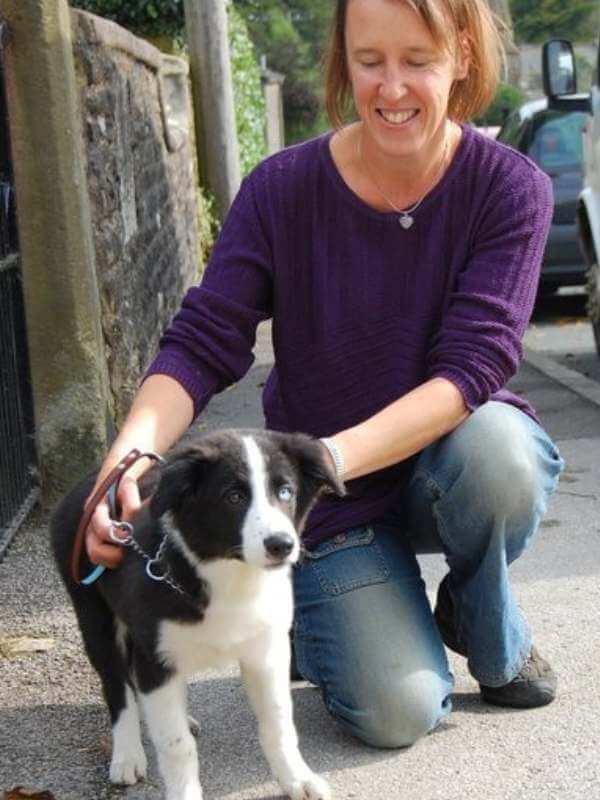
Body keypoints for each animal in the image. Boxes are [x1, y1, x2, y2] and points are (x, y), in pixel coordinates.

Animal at [51, 428, 342, 800]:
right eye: (234, 497)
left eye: (285, 491)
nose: (282, 545)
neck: (229, 576)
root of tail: (93, 483)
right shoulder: (155, 658)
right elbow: (176, 745)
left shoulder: (267, 651)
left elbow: (279, 723)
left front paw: (297, 779)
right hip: (94, 617)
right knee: (118, 686)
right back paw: (127, 753)